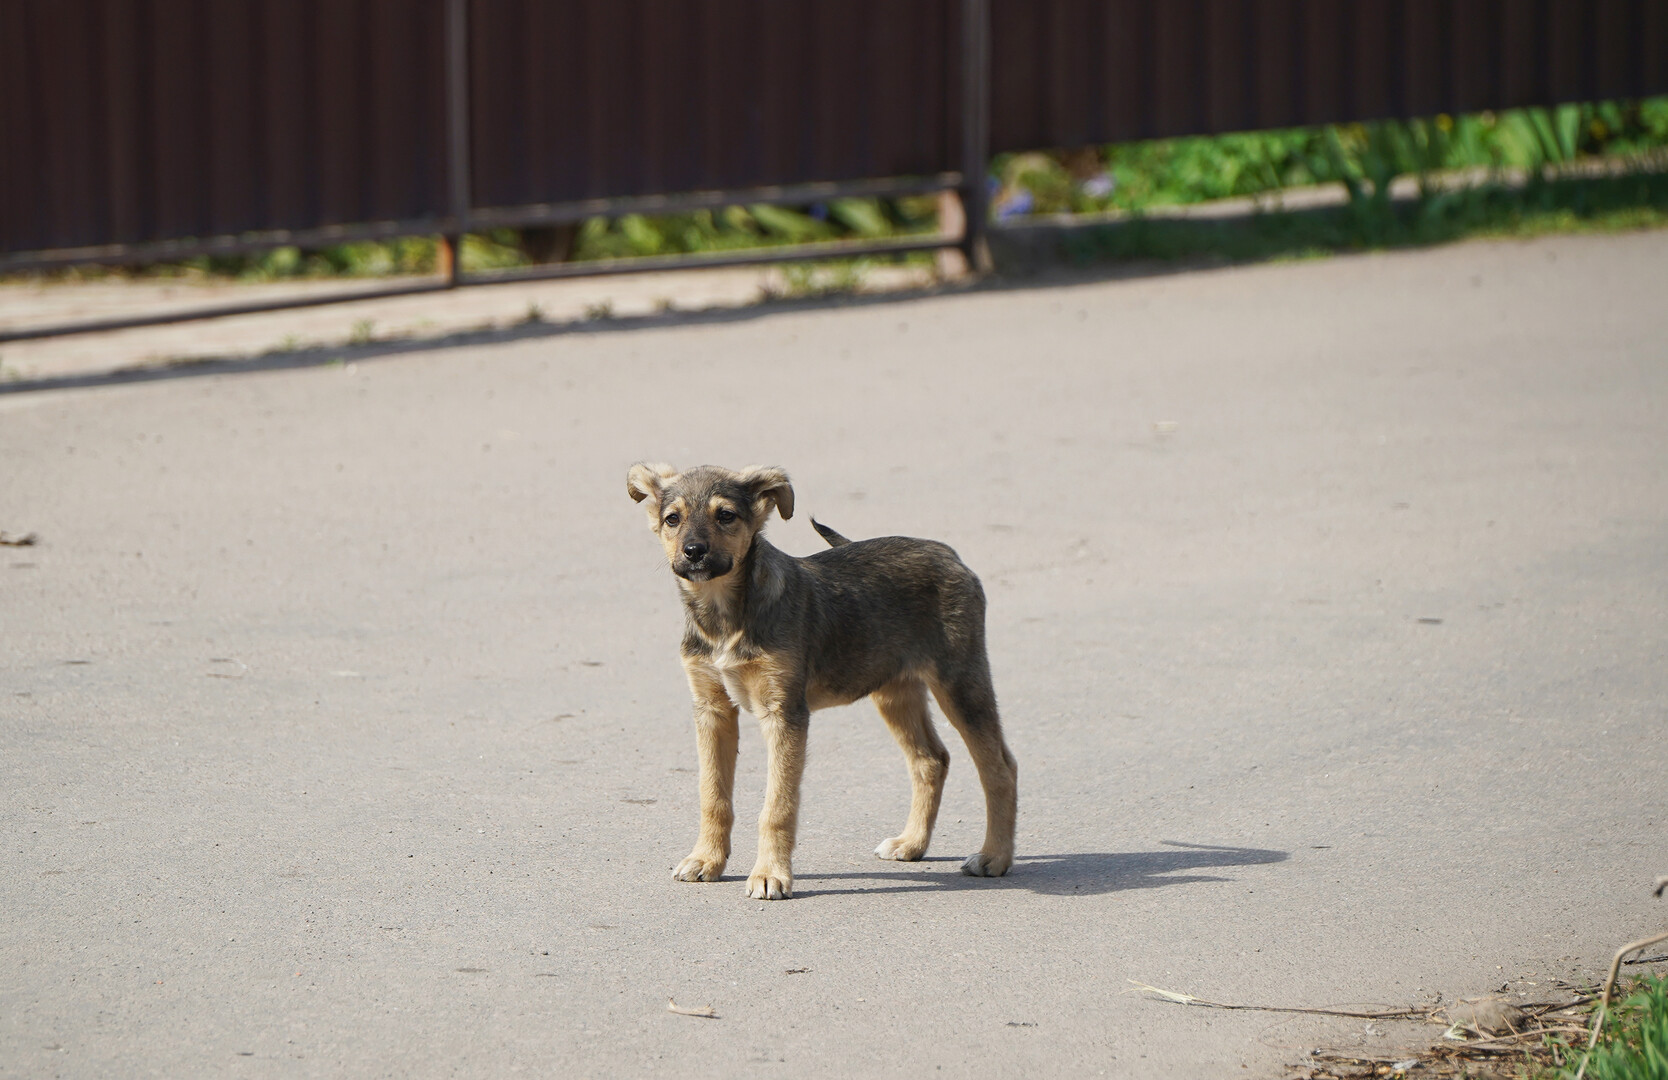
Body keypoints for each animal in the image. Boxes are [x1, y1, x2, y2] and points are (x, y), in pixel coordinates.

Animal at [627, 460, 1014, 901]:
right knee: (931, 760)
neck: (725, 614)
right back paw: (911, 844)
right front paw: (706, 859)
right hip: (894, 690)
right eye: (672, 519)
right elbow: (713, 795)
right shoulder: (712, 709)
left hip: (961, 682)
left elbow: (777, 806)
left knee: (1000, 768)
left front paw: (769, 874)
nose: (693, 552)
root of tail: (948, 553)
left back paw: (994, 857)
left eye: (725, 515)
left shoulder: (784, 713)